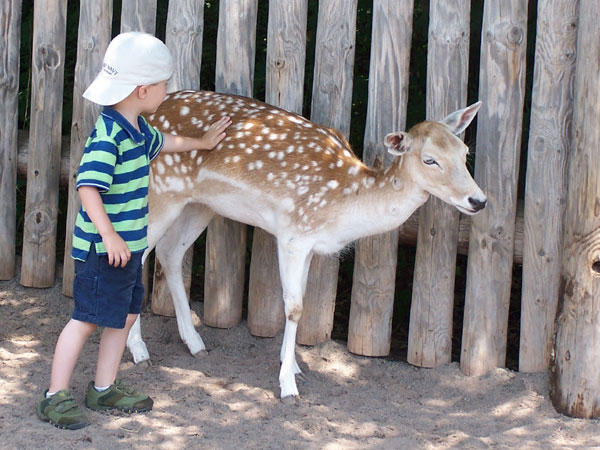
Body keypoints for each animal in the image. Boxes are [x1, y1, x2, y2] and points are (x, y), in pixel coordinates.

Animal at [124, 89, 486, 400]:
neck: (344, 205)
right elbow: (294, 306)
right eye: (430, 160)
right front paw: (287, 385)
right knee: (133, 254)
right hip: (157, 193)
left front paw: (295, 366)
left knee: (170, 253)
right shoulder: (293, 233)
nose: (479, 200)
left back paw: (195, 343)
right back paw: (139, 351)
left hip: (199, 205)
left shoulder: (310, 244)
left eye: (465, 153)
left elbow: (304, 299)